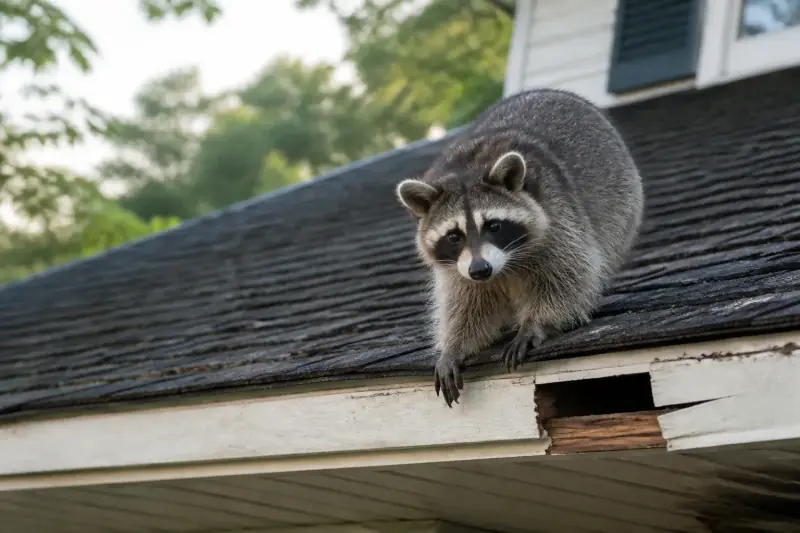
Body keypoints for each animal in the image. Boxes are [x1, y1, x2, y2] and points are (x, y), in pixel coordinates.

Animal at [395, 88, 644, 407]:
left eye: (494, 226)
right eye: (453, 236)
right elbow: (465, 304)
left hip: (622, 205)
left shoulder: (558, 222)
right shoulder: (457, 270)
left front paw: (536, 323)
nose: (480, 269)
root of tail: (549, 91)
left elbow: (567, 277)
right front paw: (454, 346)